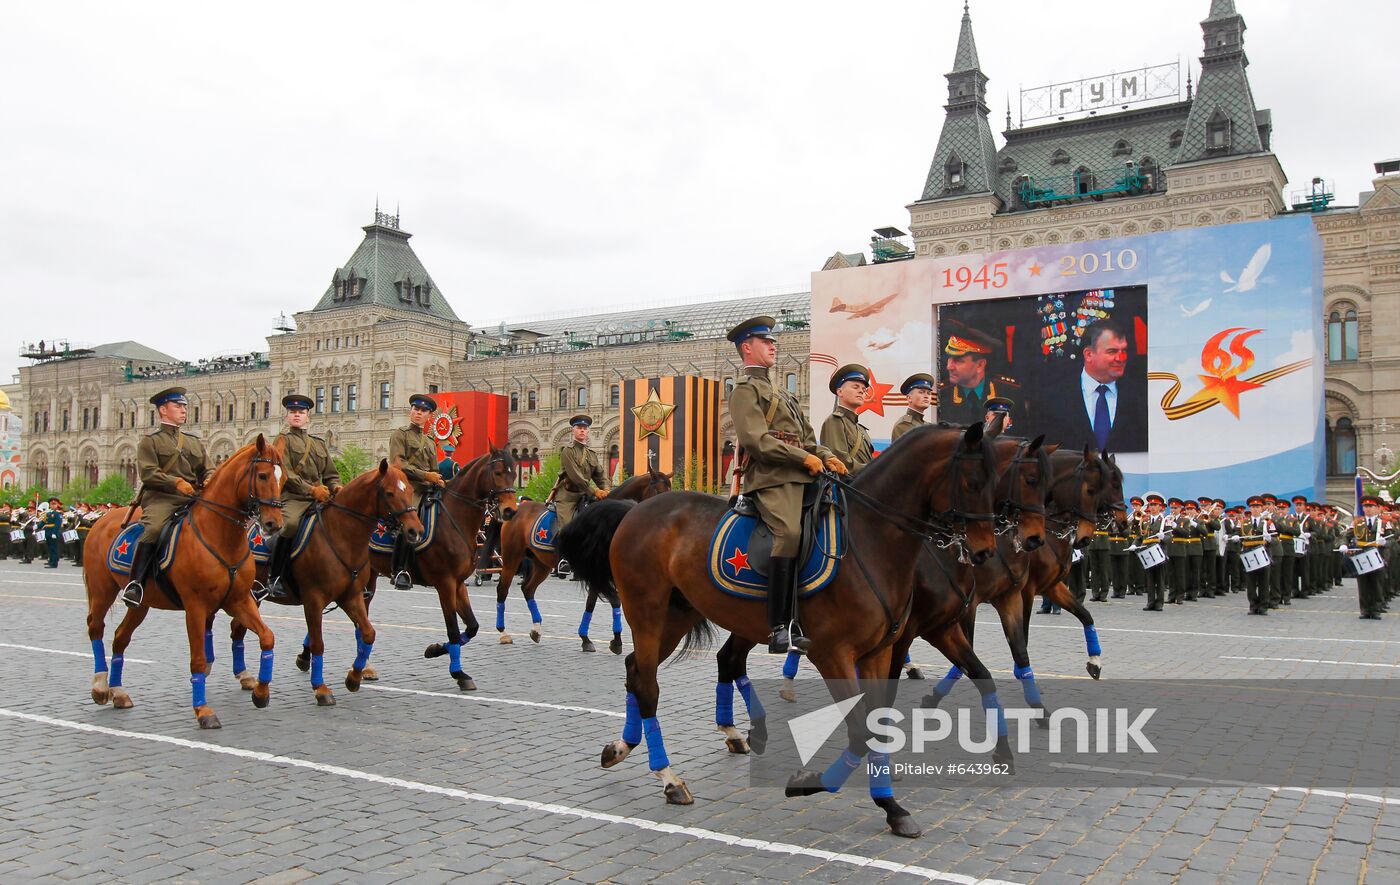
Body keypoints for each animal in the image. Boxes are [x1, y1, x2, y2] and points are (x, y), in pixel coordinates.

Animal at [84, 431, 287, 728]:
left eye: (283, 478)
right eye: (262, 475)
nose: (274, 525)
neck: (220, 535)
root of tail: (102, 519)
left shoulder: (239, 600)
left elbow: (267, 637)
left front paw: (261, 693)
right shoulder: (195, 607)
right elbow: (198, 659)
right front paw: (203, 711)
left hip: (142, 603)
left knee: (120, 638)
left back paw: (118, 692)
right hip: (102, 591)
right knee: (95, 628)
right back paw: (100, 687)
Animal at [224, 462, 417, 705]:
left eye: (410, 490)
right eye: (390, 493)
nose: (415, 530)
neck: (342, 536)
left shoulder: (351, 597)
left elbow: (368, 632)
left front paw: (354, 677)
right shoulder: (313, 600)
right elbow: (318, 642)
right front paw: (321, 688)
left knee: (237, 629)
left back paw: (245, 676)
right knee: (236, 629)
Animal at [364, 442, 518, 691]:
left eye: (514, 473)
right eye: (497, 473)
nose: (510, 511)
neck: (455, 520)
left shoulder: (459, 583)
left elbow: (472, 626)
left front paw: (435, 649)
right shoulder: (444, 583)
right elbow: (453, 629)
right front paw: (459, 673)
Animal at [490, 467, 669, 646]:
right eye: (659, 491)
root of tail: (516, 508)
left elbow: (592, 603)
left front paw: (587, 638)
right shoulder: (598, 573)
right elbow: (614, 600)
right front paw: (615, 640)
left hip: (542, 564)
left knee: (528, 589)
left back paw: (536, 629)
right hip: (511, 557)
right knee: (502, 589)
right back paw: (503, 632)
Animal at [557, 422, 996, 834]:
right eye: (974, 482)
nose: (985, 551)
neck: (870, 539)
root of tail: (635, 511)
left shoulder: (879, 650)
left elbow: (877, 724)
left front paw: (891, 806)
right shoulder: (833, 654)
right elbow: (859, 730)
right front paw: (811, 782)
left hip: (678, 616)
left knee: (640, 671)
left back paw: (623, 747)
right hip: (647, 612)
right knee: (649, 684)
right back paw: (669, 778)